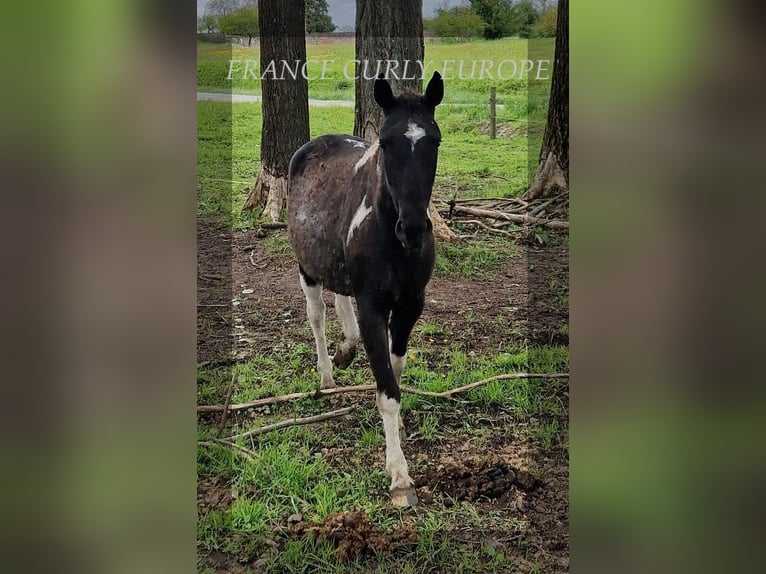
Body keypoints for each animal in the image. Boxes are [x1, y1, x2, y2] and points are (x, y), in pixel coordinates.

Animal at [286, 72, 444, 508]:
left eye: (435, 141)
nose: (413, 228)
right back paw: (327, 373)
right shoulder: (373, 307)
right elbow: (387, 389)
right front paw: (399, 475)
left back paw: (345, 350)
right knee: (317, 316)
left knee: (341, 301)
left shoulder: (410, 306)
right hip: (307, 269)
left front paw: (399, 430)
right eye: (386, 143)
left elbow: (395, 368)